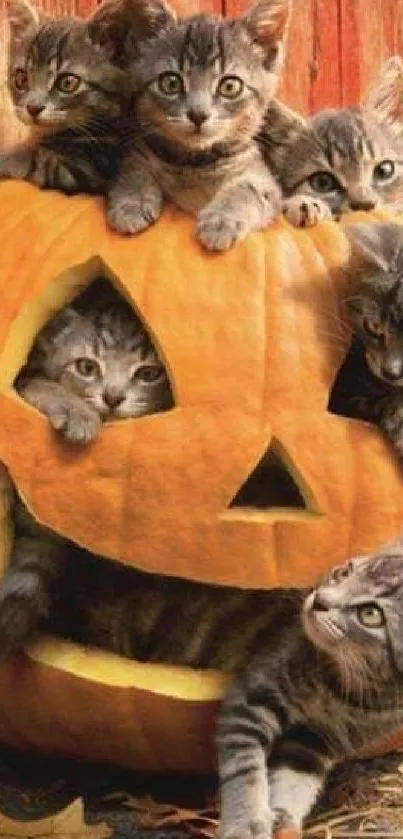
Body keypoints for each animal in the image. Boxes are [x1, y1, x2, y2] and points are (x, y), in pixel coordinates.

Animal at [0, 278, 174, 660]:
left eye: (148, 373)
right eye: (87, 367)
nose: (112, 397)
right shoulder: (24, 379)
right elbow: (40, 384)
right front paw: (76, 412)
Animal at [1, 0, 142, 195]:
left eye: (67, 83)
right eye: (21, 79)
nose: (33, 108)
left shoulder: (92, 167)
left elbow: (33, 159)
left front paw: (7, 156)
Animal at [42, 540, 403, 836]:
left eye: (370, 614)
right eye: (343, 573)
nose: (319, 601)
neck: (347, 689)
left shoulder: (317, 741)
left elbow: (295, 783)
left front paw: (283, 820)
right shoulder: (253, 696)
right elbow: (246, 770)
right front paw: (246, 823)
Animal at [107, 0, 290, 251]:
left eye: (230, 86)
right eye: (170, 83)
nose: (198, 114)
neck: (194, 162)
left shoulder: (259, 174)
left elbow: (248, 190)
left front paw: (222, 221)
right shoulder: (141, 151)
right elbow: (133, 169)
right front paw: (131, 202)